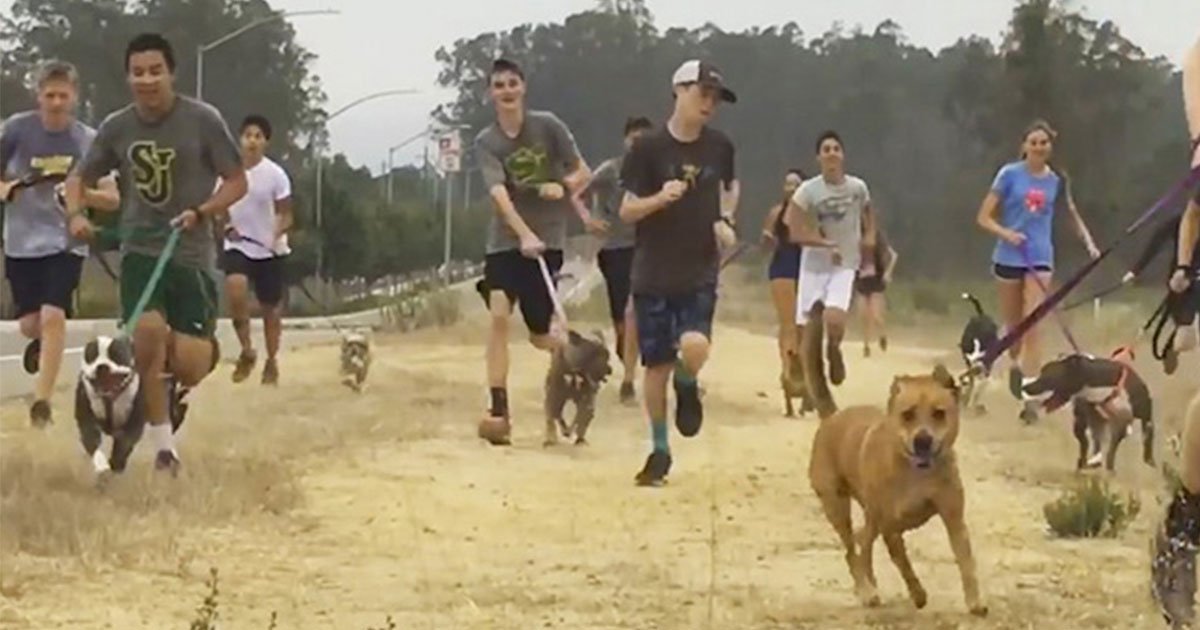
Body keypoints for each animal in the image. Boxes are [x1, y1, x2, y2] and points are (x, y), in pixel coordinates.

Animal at [811, 362, 988, 614]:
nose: (922, 440)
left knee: (862, 542)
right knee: (852, 550)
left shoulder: (954, 519)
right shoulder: (889, 526)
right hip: (837, 506)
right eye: (907, 415)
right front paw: (917, 593)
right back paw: (867, 591)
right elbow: (901, 561)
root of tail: (832, 418)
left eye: (939, 413)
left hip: (871, 518)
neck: (917, 472)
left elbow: (966, 562)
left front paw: (974, 601)